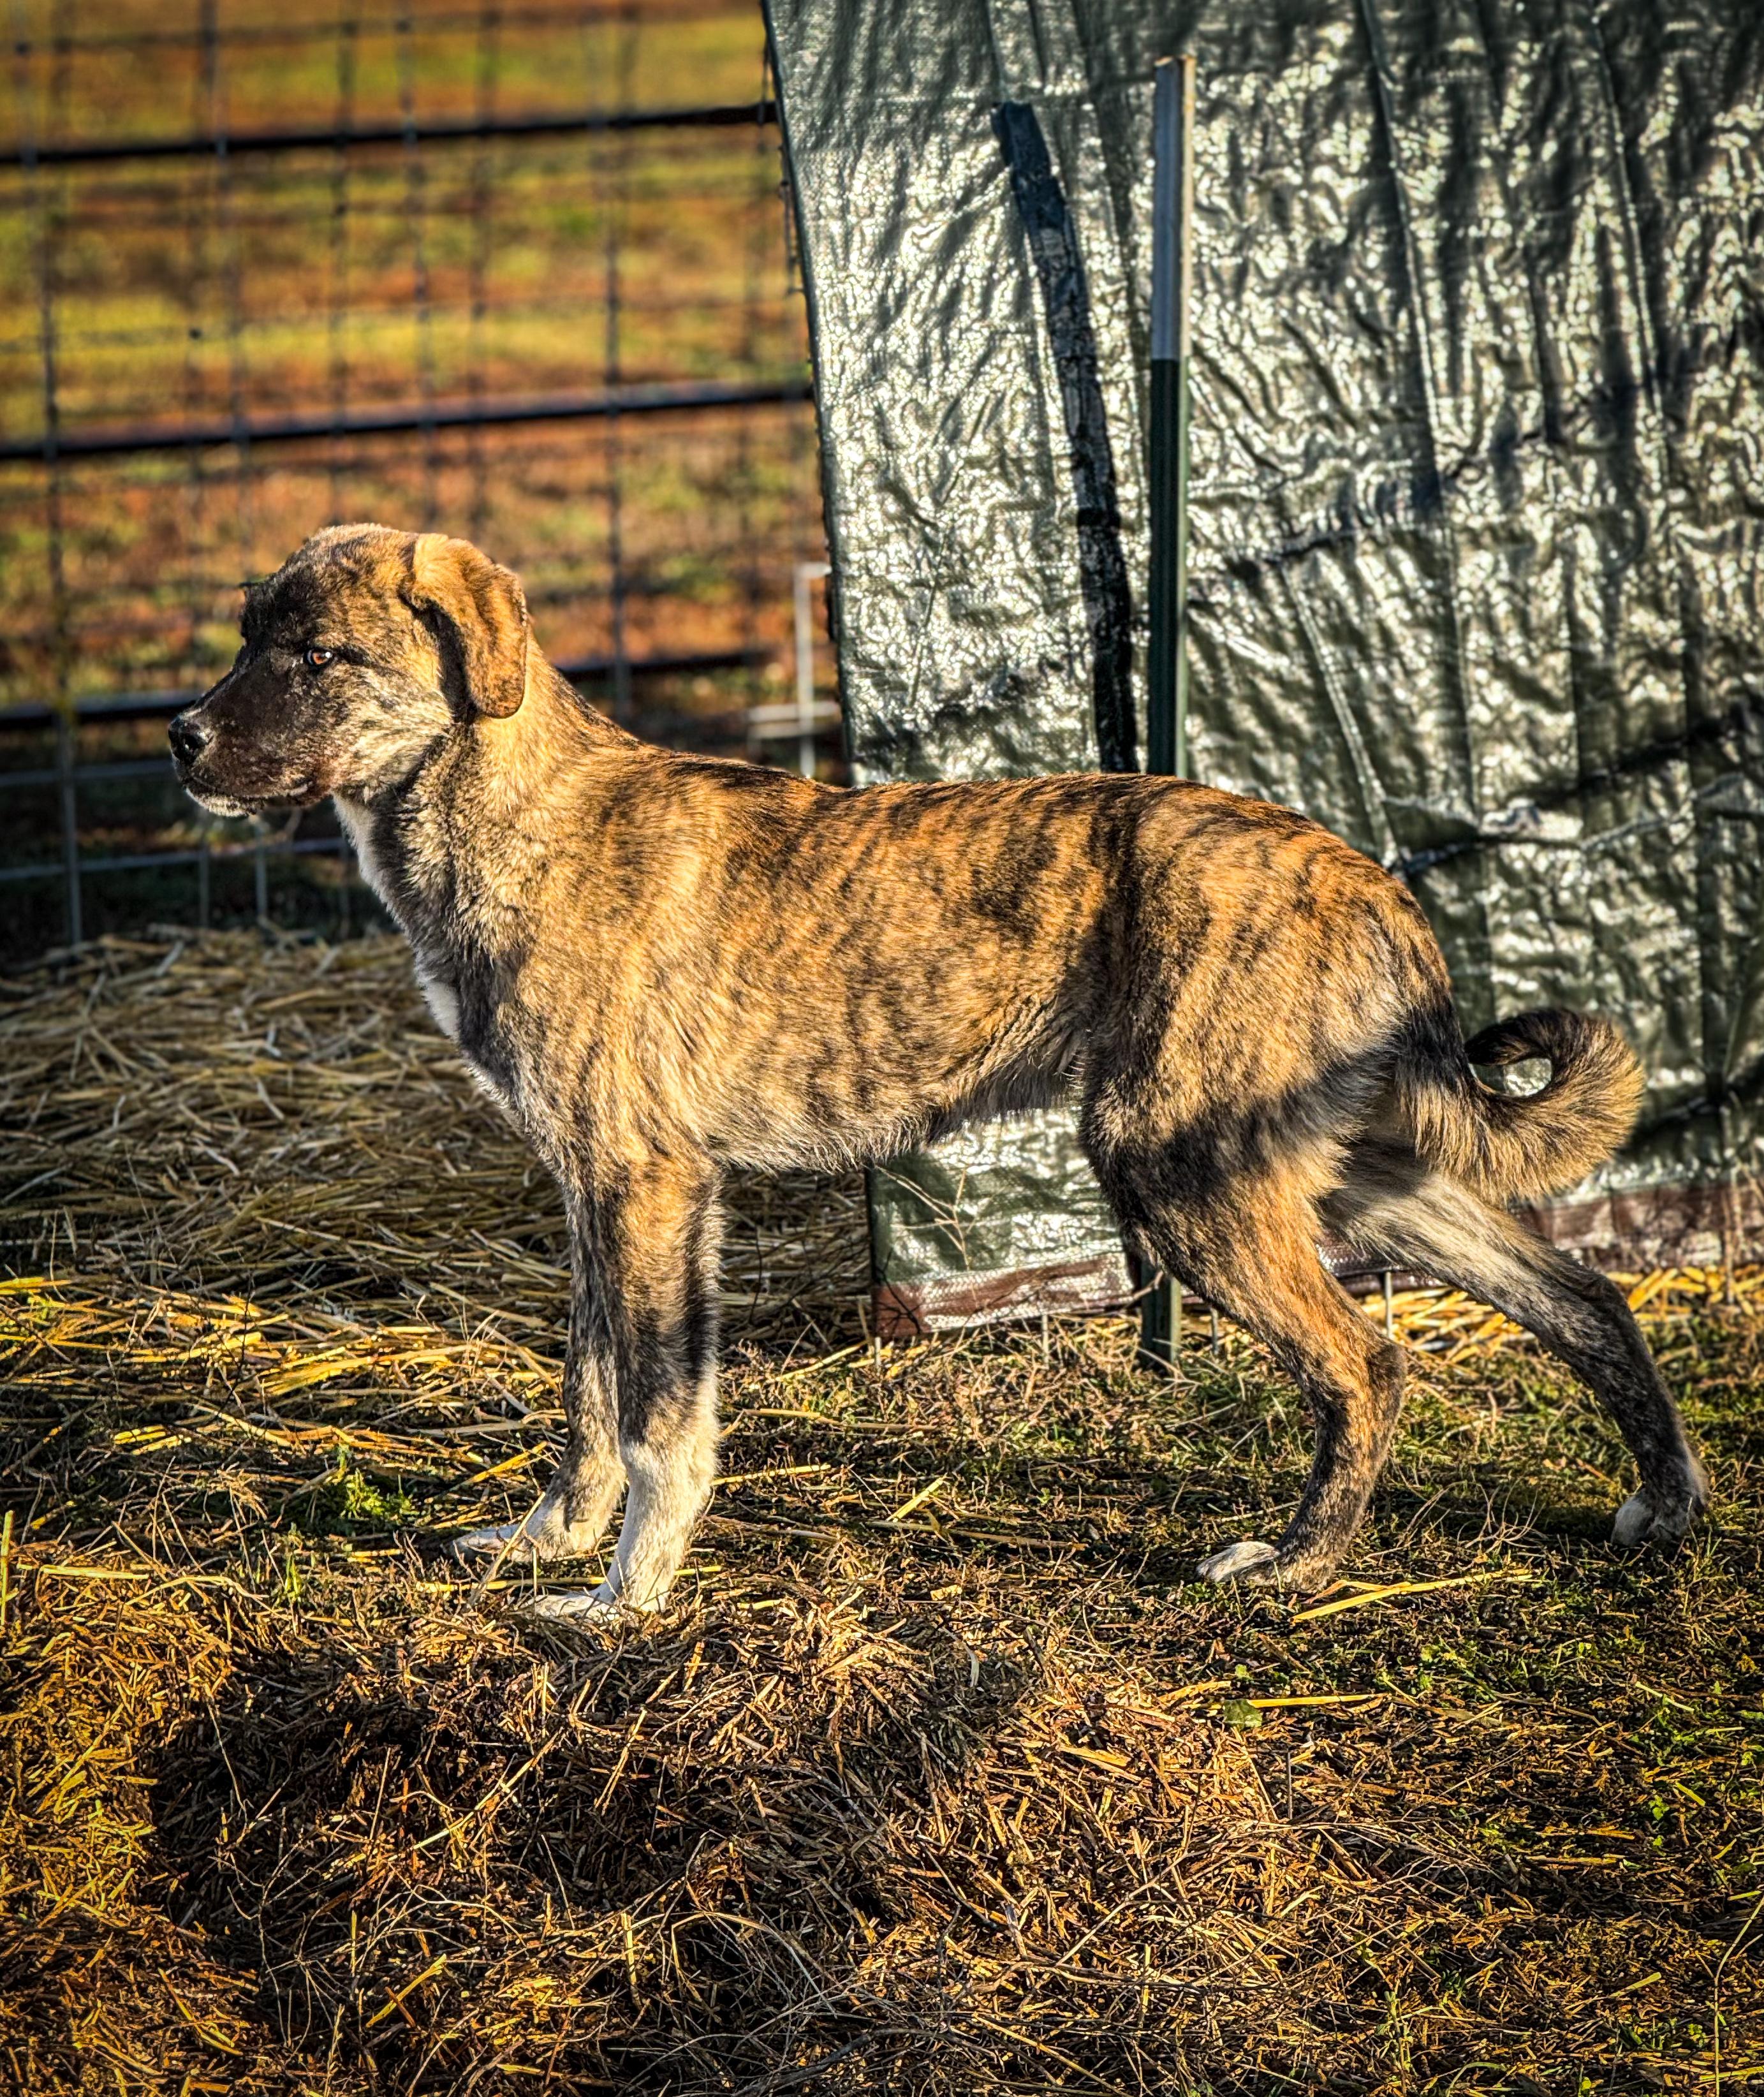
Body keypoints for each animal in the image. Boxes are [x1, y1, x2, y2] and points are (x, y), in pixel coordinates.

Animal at [169, 525, 1710, 1613]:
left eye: (317, 655)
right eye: (248, 634)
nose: (180, 738)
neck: (507, 808)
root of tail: (1367, 876)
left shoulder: (645, 1187)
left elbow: (660, 1414)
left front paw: (624, 1602)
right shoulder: (599, 1199)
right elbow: (593, 1397)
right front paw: (546, 1544)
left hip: (1185, 1176)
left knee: (1367, 1361)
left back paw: (1296, 1569)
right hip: (1345, 1171)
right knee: (1583, 1296)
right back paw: (1665, 1504)